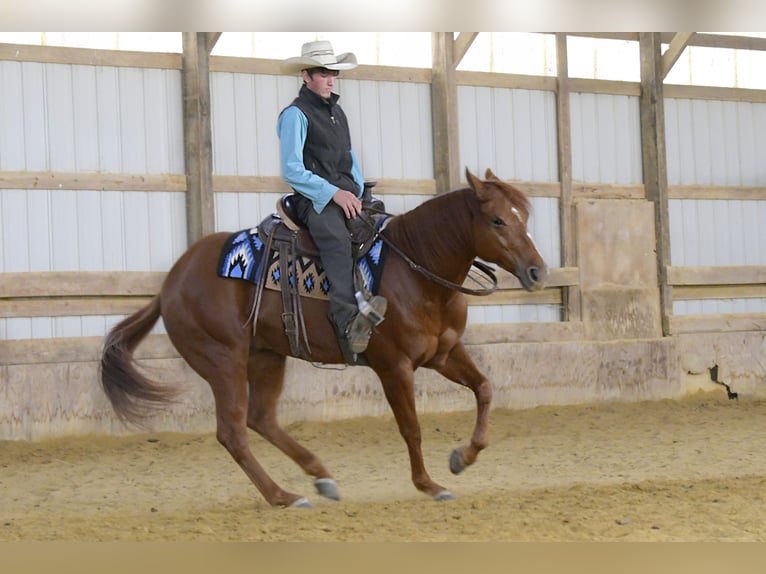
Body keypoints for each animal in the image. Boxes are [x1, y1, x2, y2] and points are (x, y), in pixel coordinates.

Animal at [100, 168, 548, 508]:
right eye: (497, 220)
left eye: (523, 217)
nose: (538, 272)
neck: (417, 271)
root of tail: (170, 284)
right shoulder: (394, 366)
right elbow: (412, 427)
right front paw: (430, 484)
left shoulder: (445, 353)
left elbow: (485, 389)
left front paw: (462, 457)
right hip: (223, 360)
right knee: (233, 431)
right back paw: (283, 496)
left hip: (266, 355)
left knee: (261, 418)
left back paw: (320, 476)